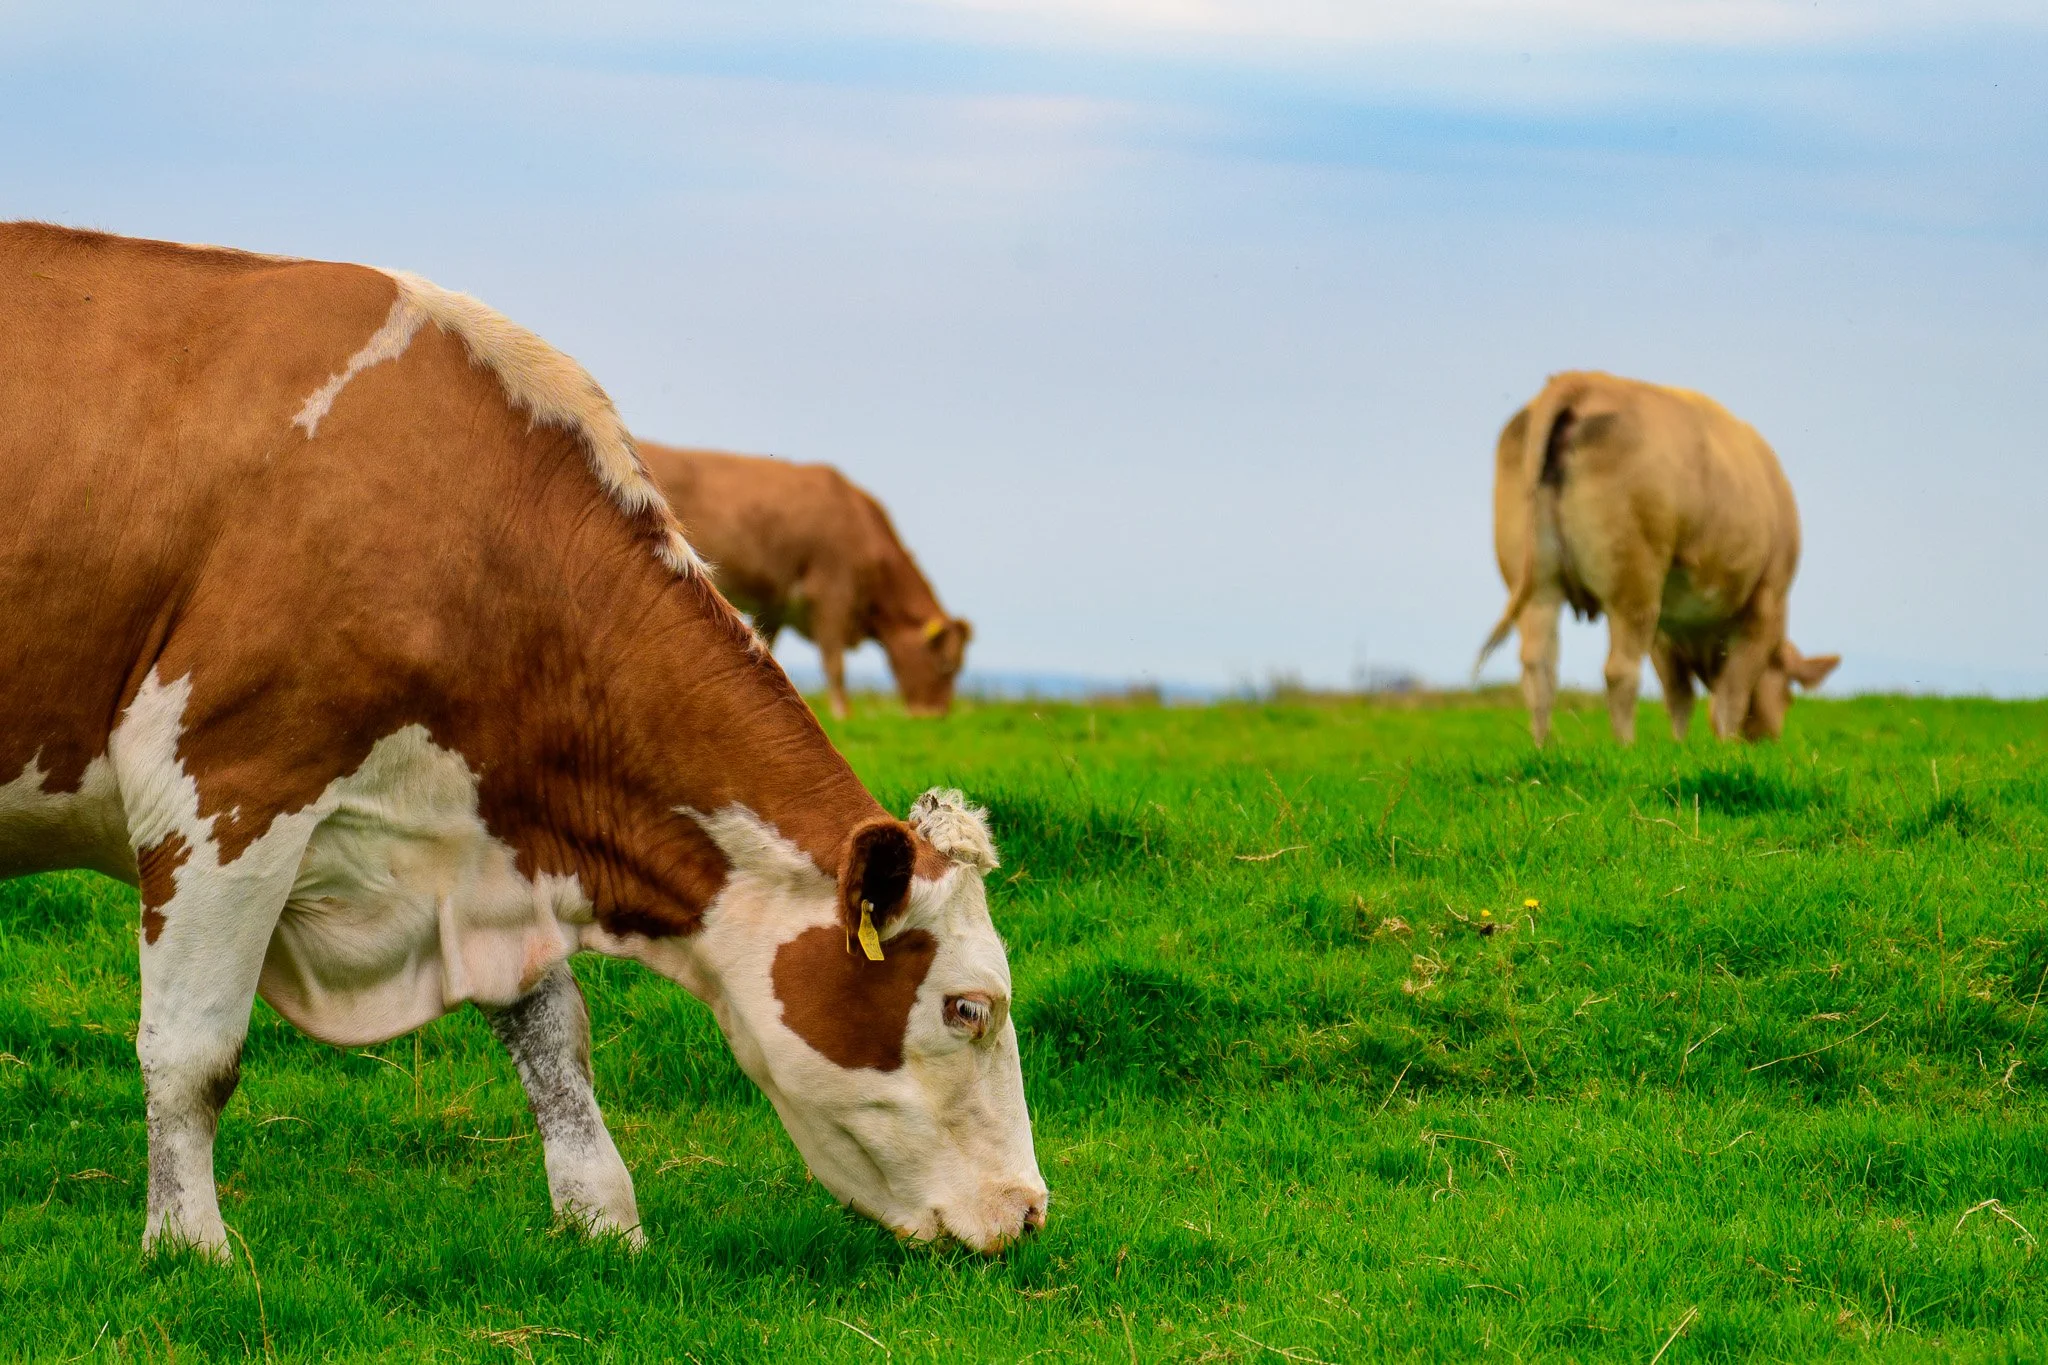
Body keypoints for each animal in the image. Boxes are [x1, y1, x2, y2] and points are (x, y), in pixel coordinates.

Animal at [638, 443, 972, 719]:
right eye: (946, 666)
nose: (936, 715)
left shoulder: (775, 604)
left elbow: (767, 648)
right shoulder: (832, 592)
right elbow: (834, 663)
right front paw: (842, 713)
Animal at [1477, 371, 1839, 745]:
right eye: (1789, 695)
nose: (1766, 738)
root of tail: (1582, 381)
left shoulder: (1666, 627)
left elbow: (1679, 695)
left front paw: (1680, 748)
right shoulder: (1766, 602)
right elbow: (1731, 695)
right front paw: (1726, 748)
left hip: (1537, 583)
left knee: (1539, 666)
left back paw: (1544, 748)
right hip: (1631, 579)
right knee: (1619, 670)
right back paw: (1625, 748)